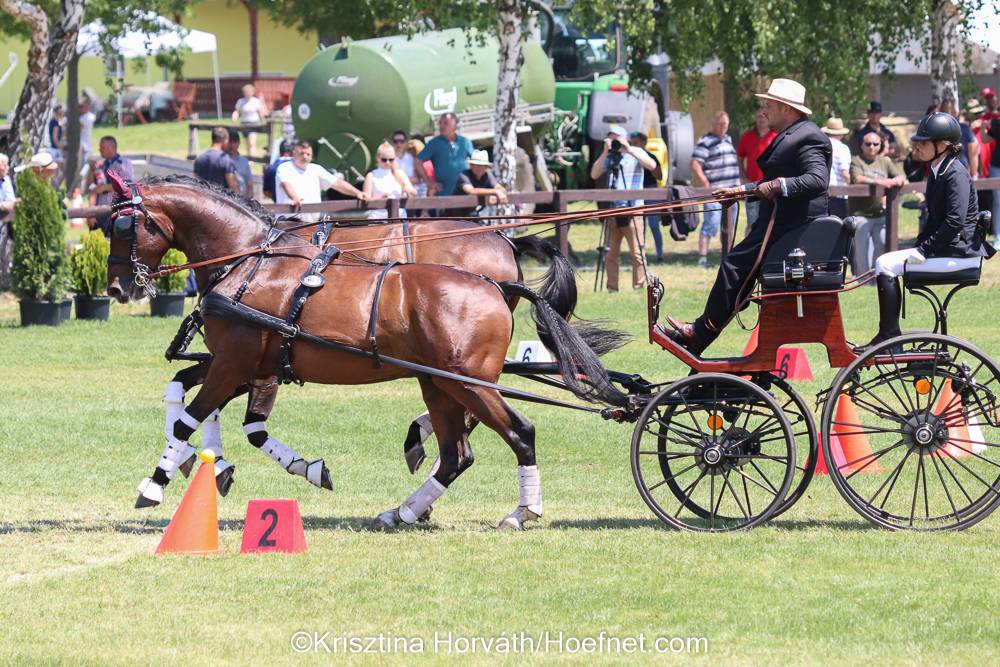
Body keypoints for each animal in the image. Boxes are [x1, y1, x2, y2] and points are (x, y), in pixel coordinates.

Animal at [109, 177, 624, 532]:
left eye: (121, 225)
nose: (116, 287)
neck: (250, 259)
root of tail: (498, 282)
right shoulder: (241, 366)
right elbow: (189, 398)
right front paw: (215, 465)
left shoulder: (238, 364)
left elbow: (192, 419)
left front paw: (155, 483)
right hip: (439, 382)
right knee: (456, 454)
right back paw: (404, 510)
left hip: (467, 382)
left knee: (518, 432)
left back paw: (521, 511)